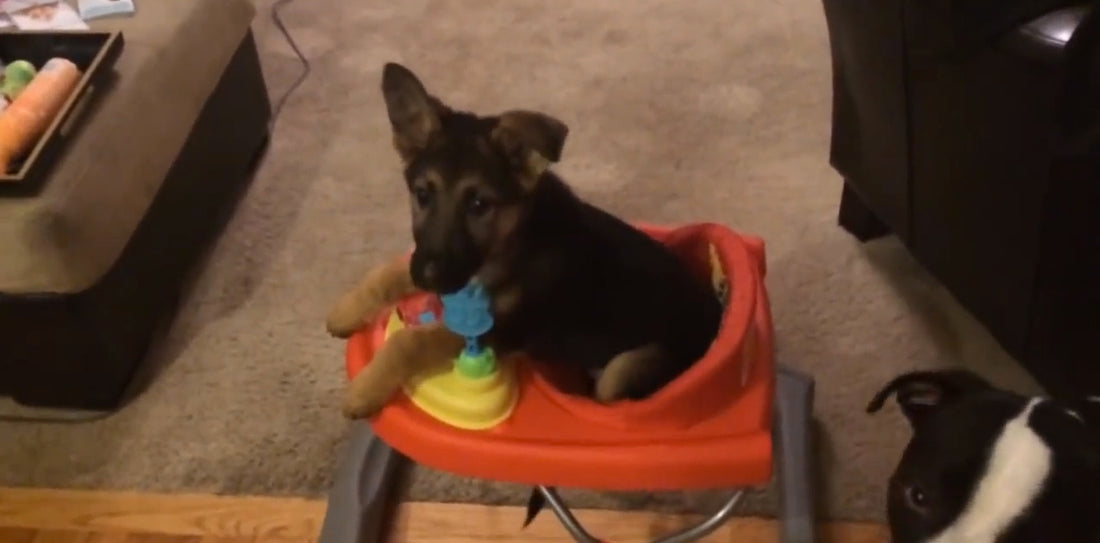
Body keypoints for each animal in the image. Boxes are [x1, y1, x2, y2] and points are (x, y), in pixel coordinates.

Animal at [325, 63, 721, 419]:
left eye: (479, 204)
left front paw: (364, 388)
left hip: (627, 369)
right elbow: (387, 273)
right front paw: (345, 311)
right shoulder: (442, 268)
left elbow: (410, 341)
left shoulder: (498, 329)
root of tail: (713, 320)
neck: (511, 242)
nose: (428, 278)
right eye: (422, 194)